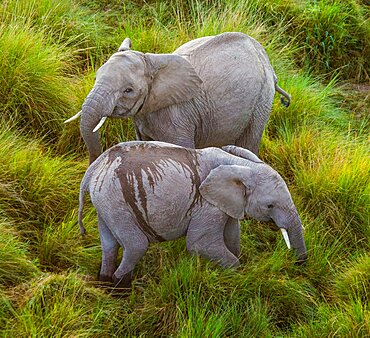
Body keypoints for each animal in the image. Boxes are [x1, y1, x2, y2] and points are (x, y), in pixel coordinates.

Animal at [67, 32, 292, 164]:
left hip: (262, 99)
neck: (151, 62)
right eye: (96, 77)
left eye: (128, 90)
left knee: (249, 141)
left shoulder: (177, 117)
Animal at [78, 141, 306, 286]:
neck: (241, 165)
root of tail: (94, 168)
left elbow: (232, 237)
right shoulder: (207, 204)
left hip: (105, 201)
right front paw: (236, 274)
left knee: (110, 244)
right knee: (136, 245)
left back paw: (105, 282)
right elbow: (200, 244)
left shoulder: (225, 204)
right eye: (270, 206)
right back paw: (120, 288)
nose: (299, 265)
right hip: (115, 199)